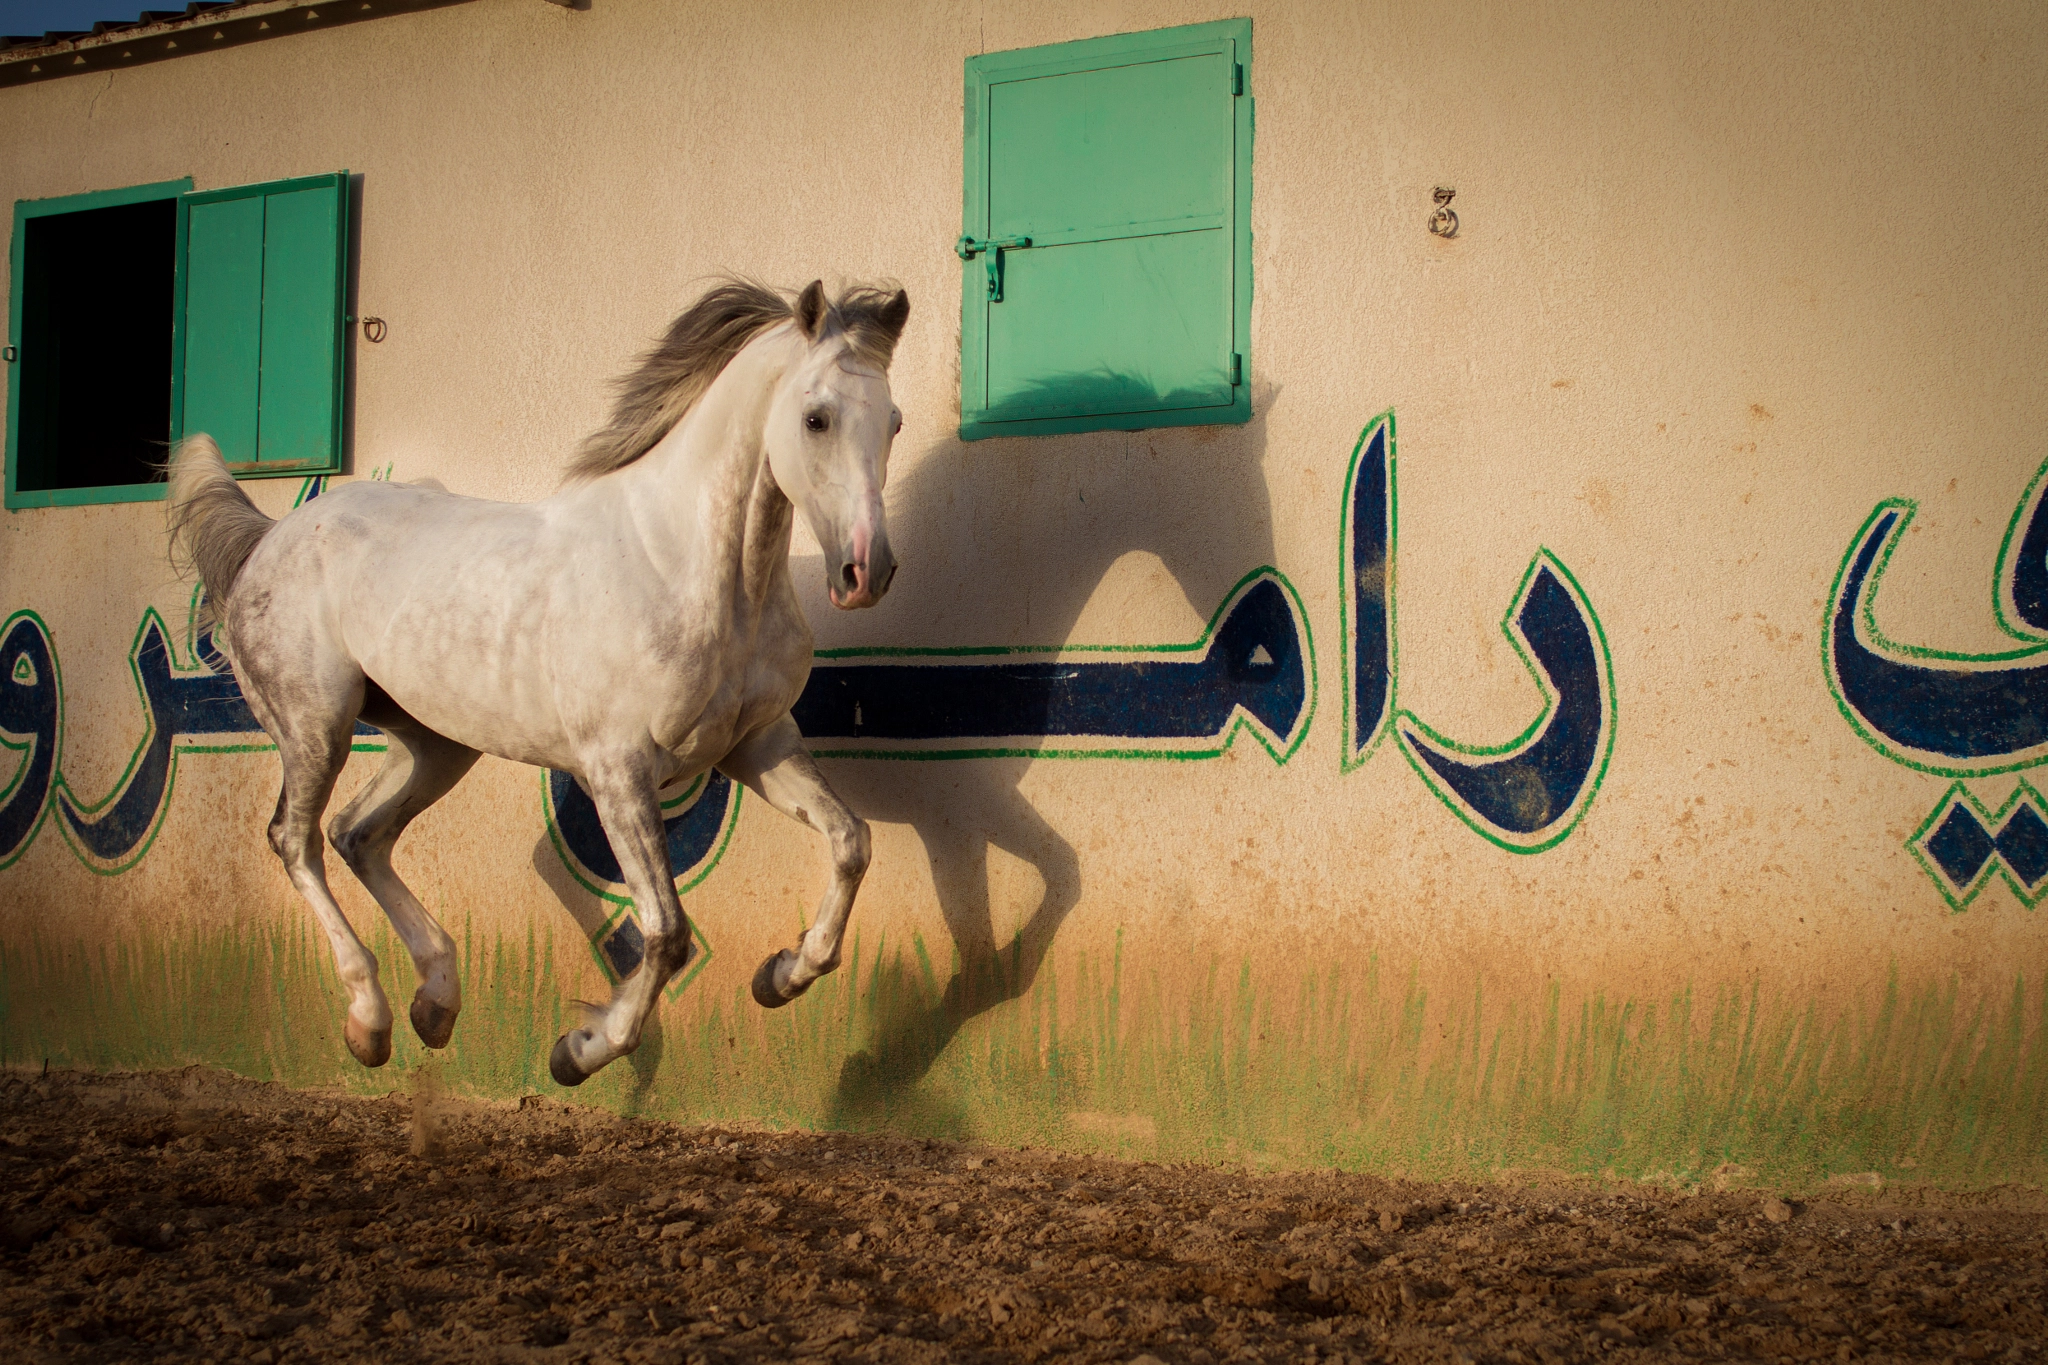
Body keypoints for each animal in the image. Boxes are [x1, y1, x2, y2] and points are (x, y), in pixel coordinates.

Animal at [172, 280, 909, 1088]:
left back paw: (436, 1004)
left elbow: (851, 841)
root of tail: (266, 540)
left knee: (358, 833)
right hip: (316, 725)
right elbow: (667, 931)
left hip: (435, 743)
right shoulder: (618, 768)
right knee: (296, 839)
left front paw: (780, 975)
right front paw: (578, 1051)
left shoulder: (758, 744)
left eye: (894, 420)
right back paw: (369, 1022)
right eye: (816, 418)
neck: (682, 565)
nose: (866, 572)